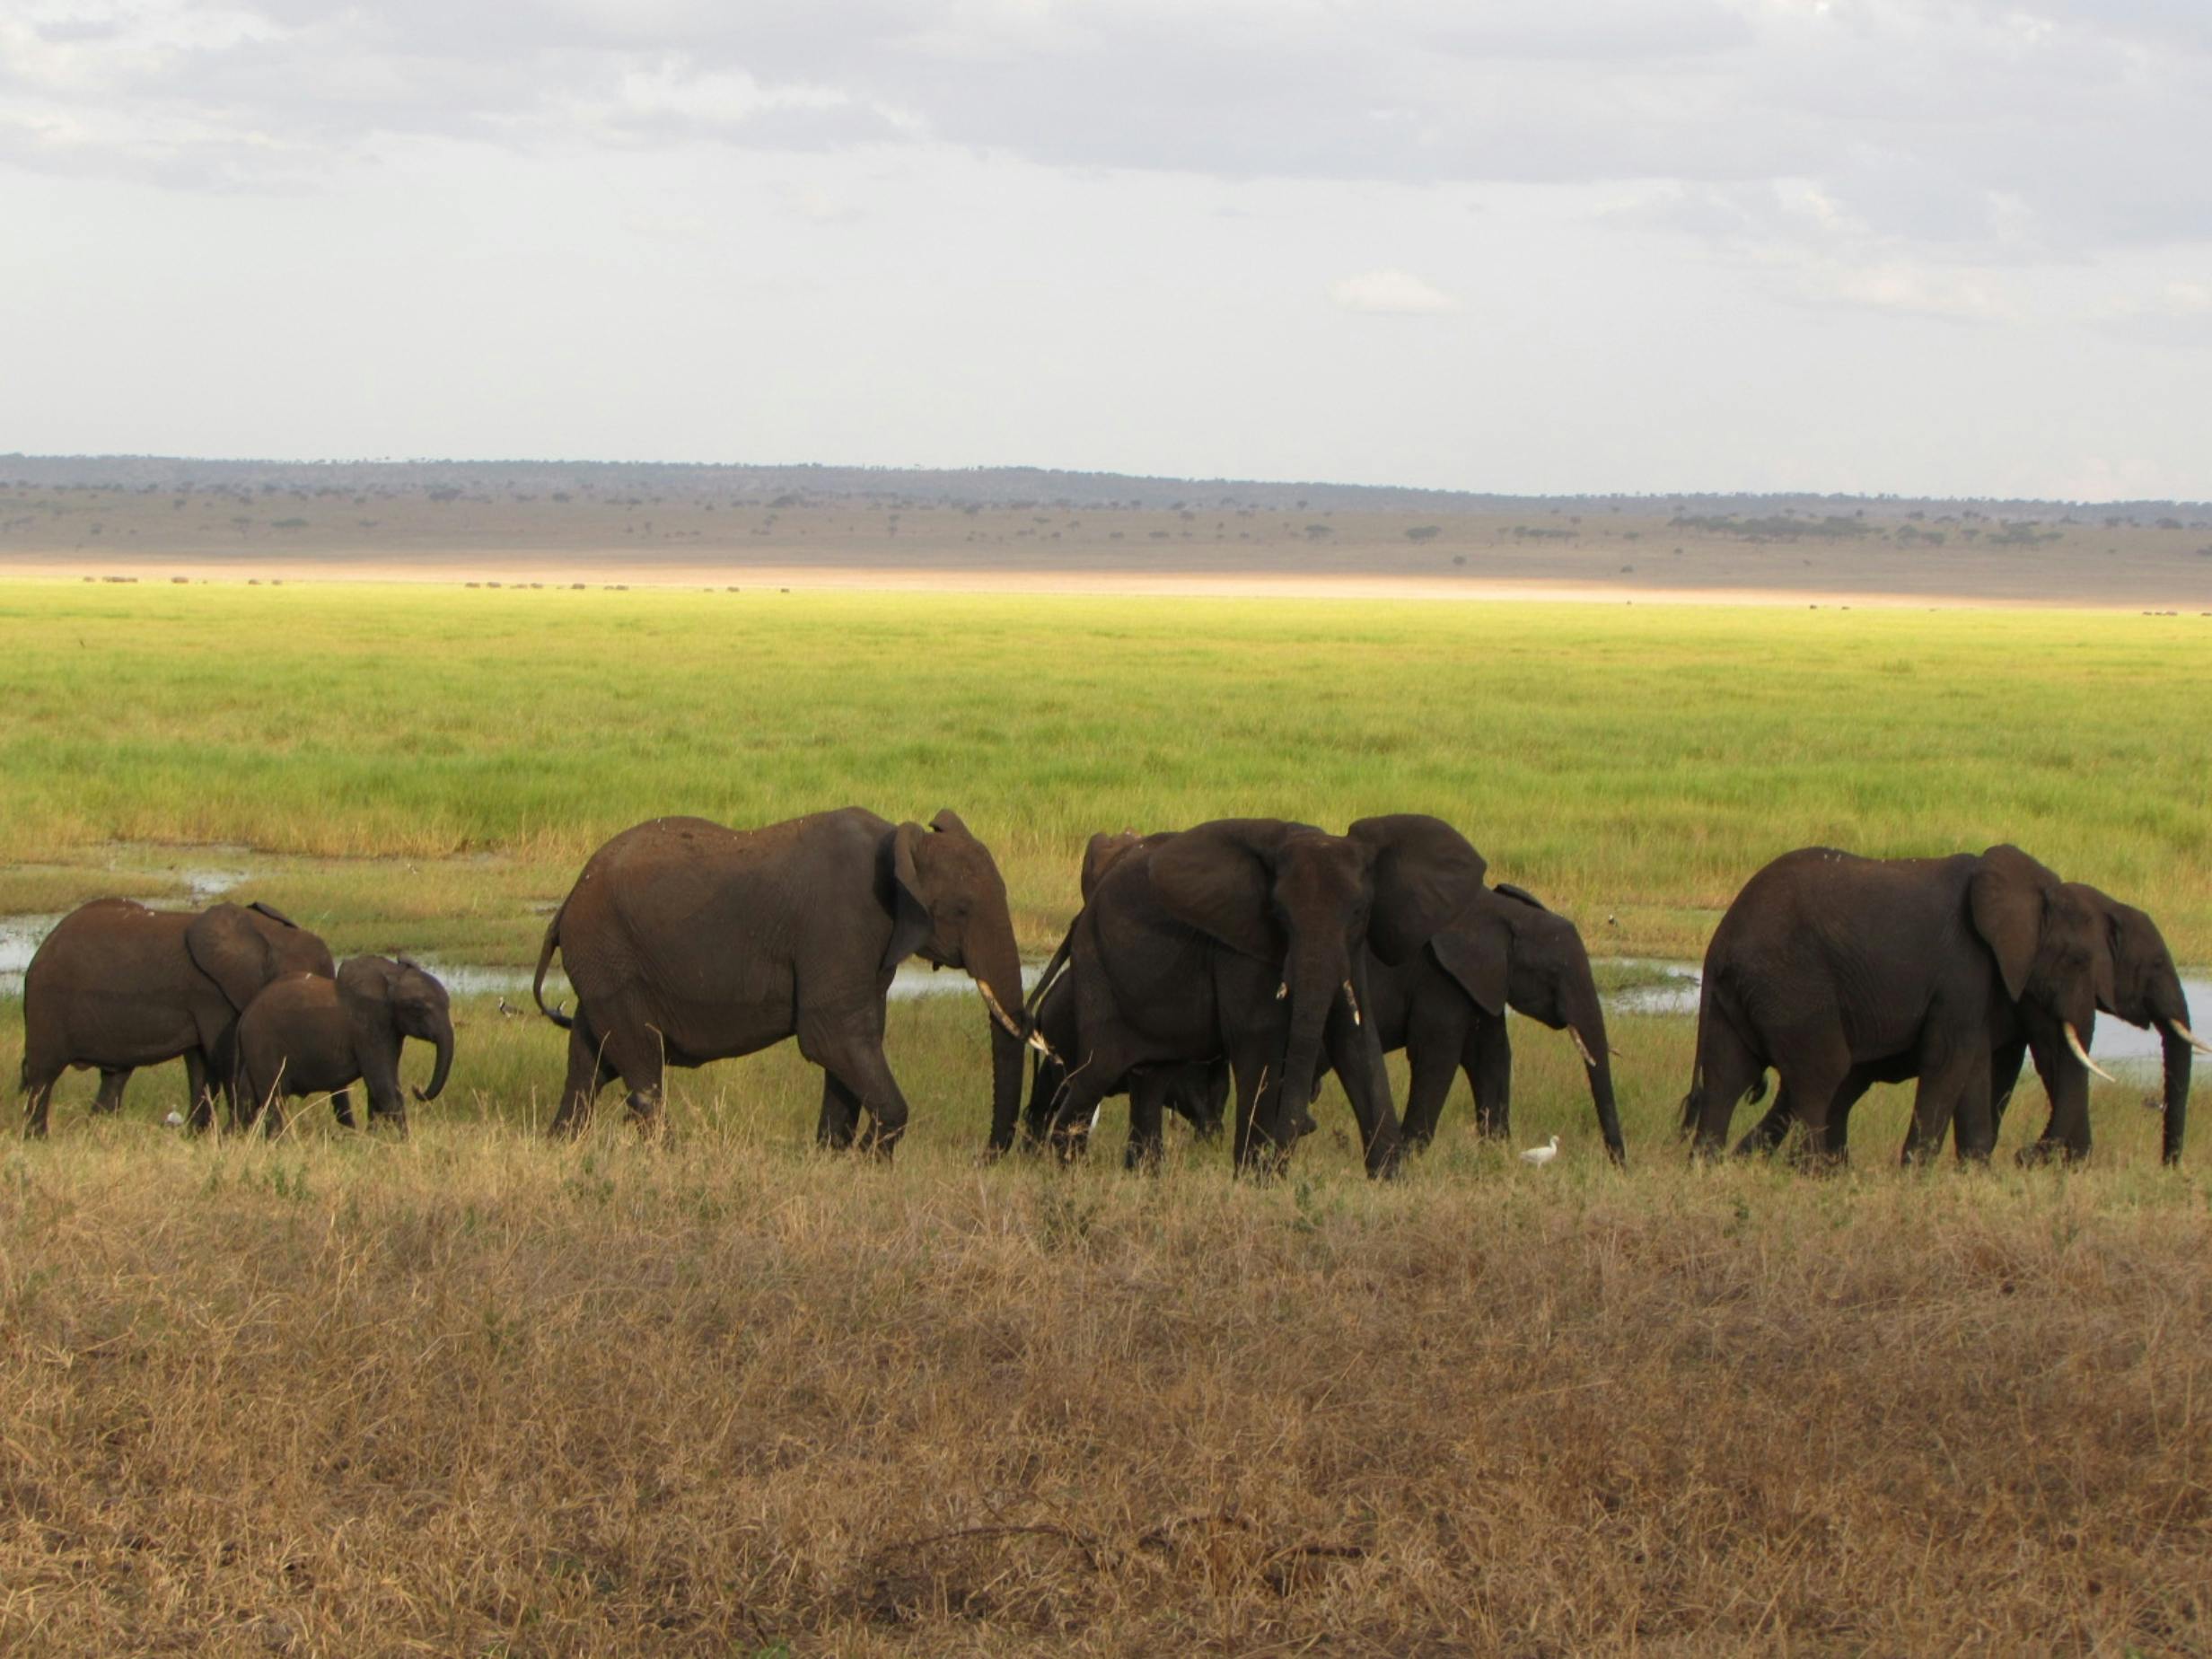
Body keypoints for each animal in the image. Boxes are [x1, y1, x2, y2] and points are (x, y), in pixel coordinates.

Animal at [20, 898, 335, 1137]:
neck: (269, 935)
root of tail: (43, 946)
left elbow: (201, 1064)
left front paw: (199, 1136)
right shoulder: (212, 993)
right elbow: (225, 1058)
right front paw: (234, 1136)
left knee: (114, 1078)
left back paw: (96, 1132)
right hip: (46, 1006)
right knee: (42, 1075)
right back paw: (38, 1138)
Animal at [233, 957, 454, 1138]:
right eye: (418, 1008)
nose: (416, 1088)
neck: (391, 976)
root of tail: (245, 1017)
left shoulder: (389, 1030)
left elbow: (376, 1090)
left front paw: (376, 1140)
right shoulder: (369, 1026)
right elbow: (384, 1087)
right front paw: (403, 1143)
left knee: (246, 1100)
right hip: (262, 1044)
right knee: (273, 1098)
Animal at [533, 808, 1031, 1151]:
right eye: (962, 910)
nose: (985, 1156)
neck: (902, 844)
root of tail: (567, 902)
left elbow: (856, 1040)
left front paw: (833, 1156)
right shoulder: (840, 925)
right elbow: (832, 1036)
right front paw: (870, 1158)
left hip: (603, 964)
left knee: (591, 1057)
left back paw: (561, 1144)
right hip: (609, 956)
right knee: (641, 1064)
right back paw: (668, 1155)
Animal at [1015, 815, 1490, 1177]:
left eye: (1359, 913)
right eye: (1278, 913)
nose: (1302, 1129)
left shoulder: (1352, 949)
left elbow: (1357, 1040)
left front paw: (1389, 1181)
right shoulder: (1239, 946)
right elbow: (1259, 1039)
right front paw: (1257, 1181)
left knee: (1149, 1079)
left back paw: (1143, 1177)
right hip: (1099, 968)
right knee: (1097, 1071)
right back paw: (1067, 1174)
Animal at [1680, 845, 2137, 1165]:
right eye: (2077, 961)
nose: (2026, 1154)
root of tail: (1720, 941)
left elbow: (1972, 1065)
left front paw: (1973, 1174)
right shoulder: (1963, 968)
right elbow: (1948, 1060)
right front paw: (1917, 1174)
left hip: (1745, 990)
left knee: (1727, 1077)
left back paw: (1708, 1168)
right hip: (1791, 984)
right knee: (1821, 1073)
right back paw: (1808, 1171)